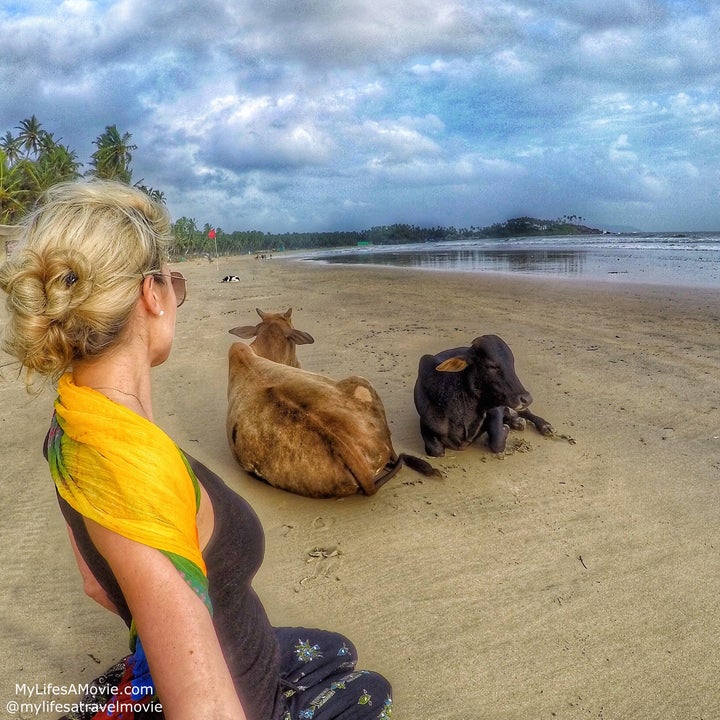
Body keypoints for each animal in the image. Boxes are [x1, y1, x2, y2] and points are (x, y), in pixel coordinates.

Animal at [410, 336, 552, 456]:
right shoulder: (425, 425)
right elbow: (436, 450)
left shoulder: (494, 409)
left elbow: (497, 443)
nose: (526, 398)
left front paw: (505, 429)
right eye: (491, 366)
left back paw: (544, 426)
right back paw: (516, 421)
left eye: (512, 364)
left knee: (523, 411)